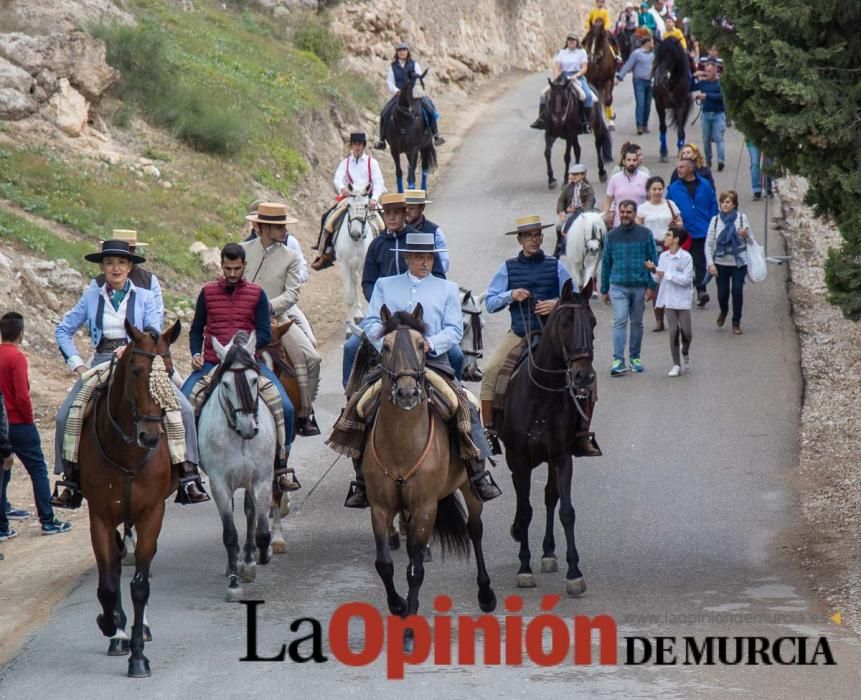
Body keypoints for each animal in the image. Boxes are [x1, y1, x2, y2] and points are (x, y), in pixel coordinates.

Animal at [80, 320, 182, 676]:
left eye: (169, 371)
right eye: (136, 371)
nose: (150, 436)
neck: (127, 452)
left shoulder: (152, 512)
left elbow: (140, 585)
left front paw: (138, 656)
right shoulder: (100, 515)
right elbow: (108, 584)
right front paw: (111, 626)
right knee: (114, 567)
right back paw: (117, 631)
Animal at [332, 190, 380, 324]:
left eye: (366, 205)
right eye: (348, 205)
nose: (355, 234)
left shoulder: (365, 264)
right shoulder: (344, 264)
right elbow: (349, 295)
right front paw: (350, 325)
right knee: (355, 281)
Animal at [364, 304, 498, 652]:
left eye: (422, 345)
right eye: (385, 347)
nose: (407, 393)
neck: (402, 442)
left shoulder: (426, 507)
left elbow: (415, 571)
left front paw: (410, 631)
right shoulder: (380, 507)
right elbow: (384, 564)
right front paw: (398, 606)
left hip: (469, 489)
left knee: (475, 530)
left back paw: (486, 595)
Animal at [498, 282, 596, 600]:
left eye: (593, 323)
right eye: (565, 322)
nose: (583, 376)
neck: (540, 395)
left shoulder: (561, 457)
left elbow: (566, 510)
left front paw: (574, 574)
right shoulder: (518, 459)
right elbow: (526, 510)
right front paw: (524, 568)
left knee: (550, 497)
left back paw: (549, 552)